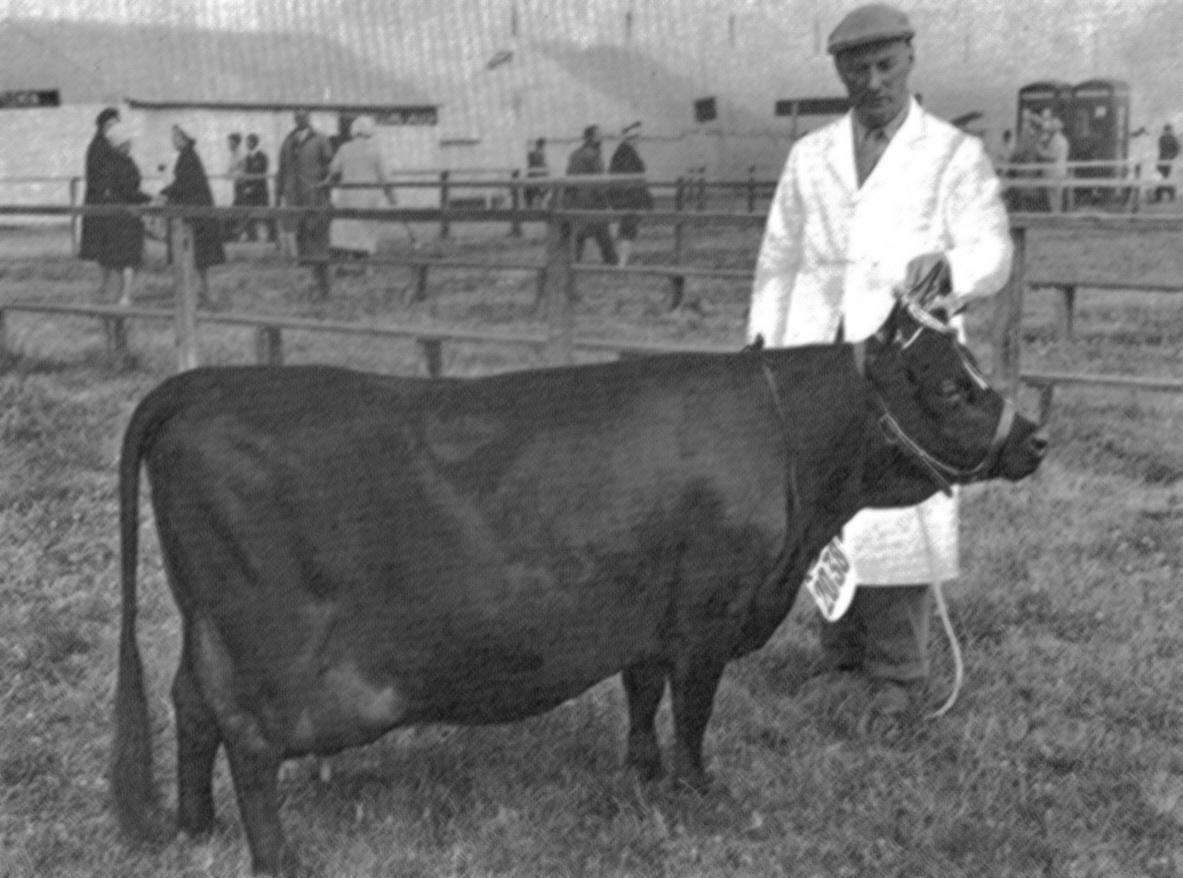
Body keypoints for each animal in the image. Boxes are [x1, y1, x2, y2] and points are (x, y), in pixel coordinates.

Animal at [111, 296, 1046, 875]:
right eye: (953, 385)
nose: (1034, 437)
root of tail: (203, 382)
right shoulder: (707, 616)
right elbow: (693, 709)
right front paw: (695, 787)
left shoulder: (647, 615)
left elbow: (641, 692)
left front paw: (639, 769)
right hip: (267, 645)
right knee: (246, 737)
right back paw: (274, 856)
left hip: (203, 625)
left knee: (189, 704)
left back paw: (196, 825)